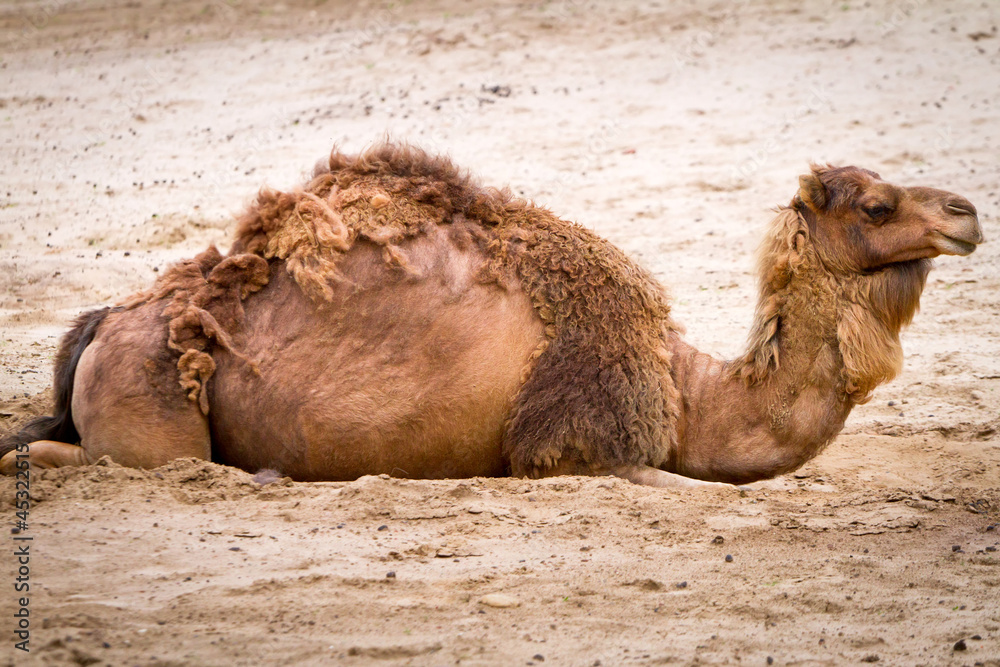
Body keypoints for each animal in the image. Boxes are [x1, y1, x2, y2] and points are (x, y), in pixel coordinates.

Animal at [0, 145, 984, 490]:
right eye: (878, 204)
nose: (966, 210)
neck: (688, 389)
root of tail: (102, 325)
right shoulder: (581, 452)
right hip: (150, 412)